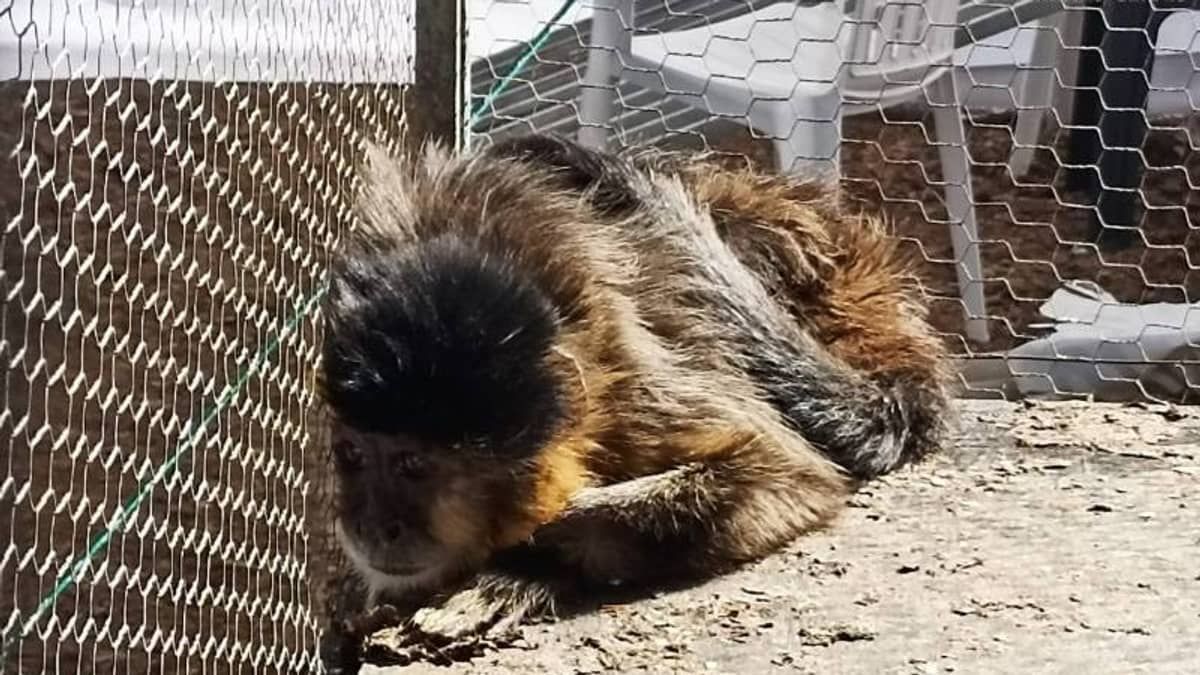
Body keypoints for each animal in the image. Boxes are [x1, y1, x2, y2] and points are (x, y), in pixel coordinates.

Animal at [316, 132, 952, 666]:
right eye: (353, 457)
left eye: (414, 466)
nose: (372, 524)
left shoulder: (626, 365)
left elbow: (786, 478)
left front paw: (523, 564)